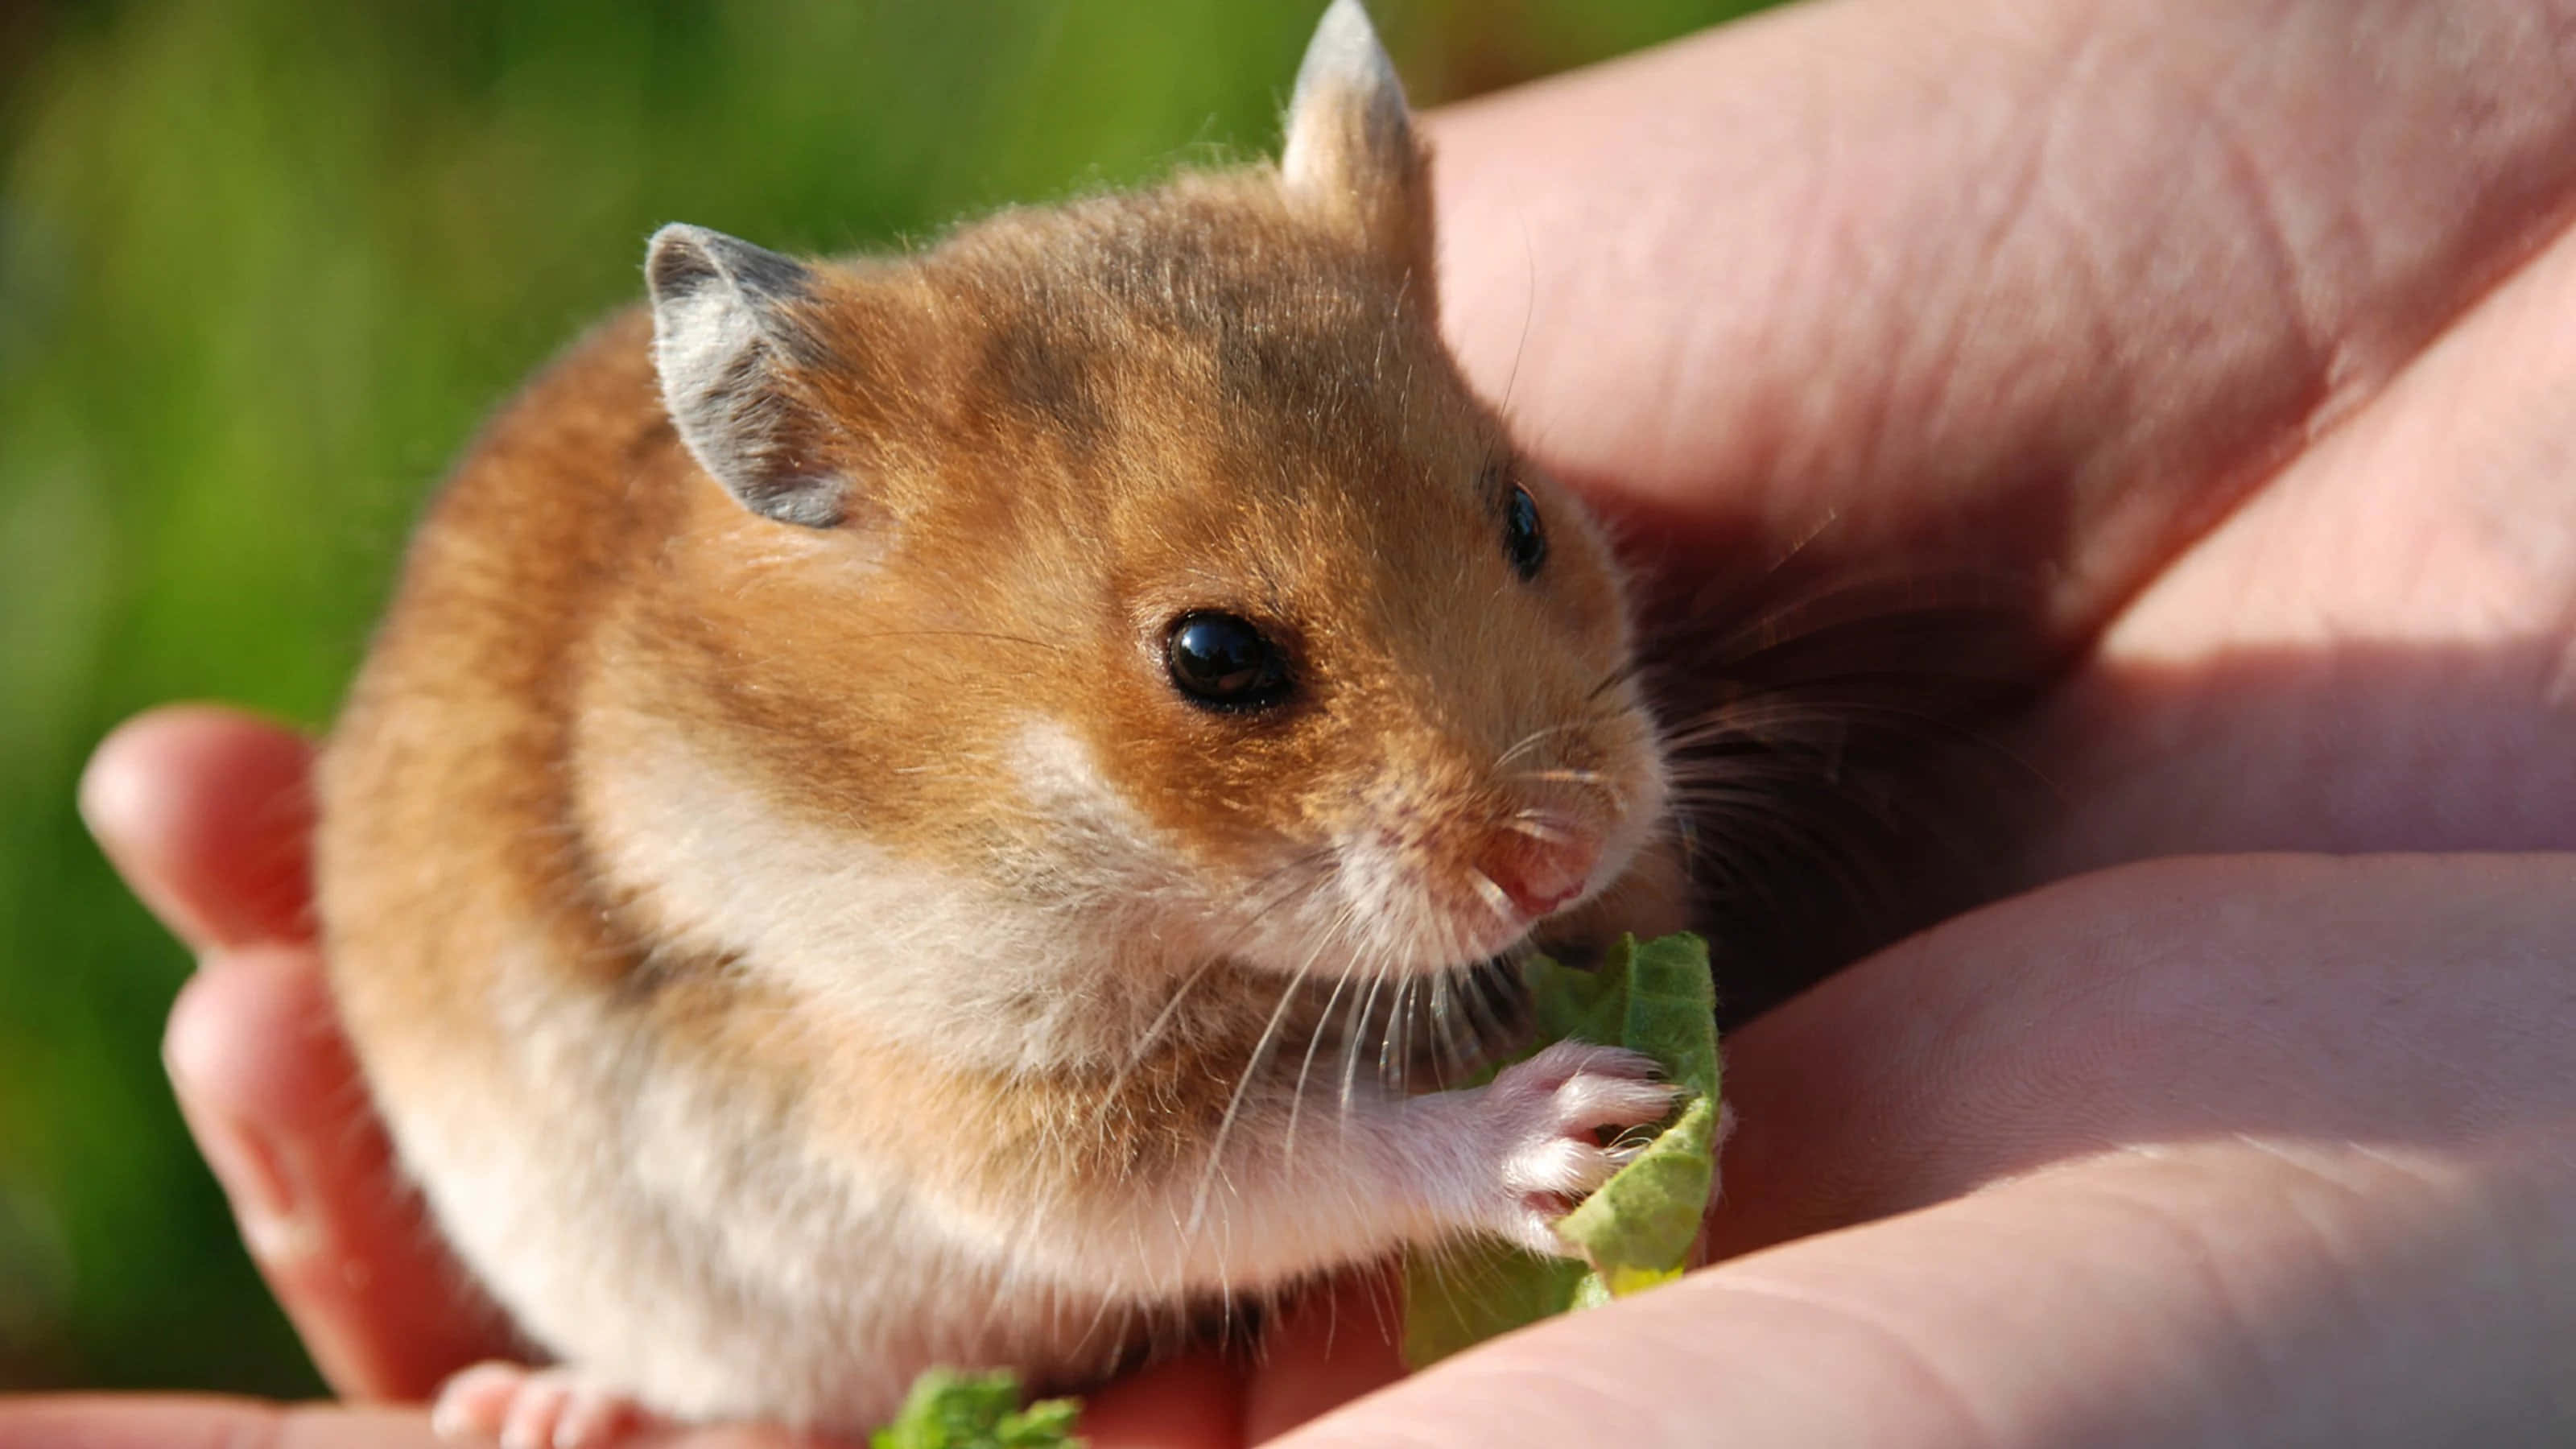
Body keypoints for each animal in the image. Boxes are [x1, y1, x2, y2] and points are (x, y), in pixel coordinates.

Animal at [316, 2, 1687, 1441]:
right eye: (1214, 657)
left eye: (1526, 519)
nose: (1561, 857)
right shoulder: (998, 1124)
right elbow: (1308, 1157)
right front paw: (1590, 1123)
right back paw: (538, 1409)